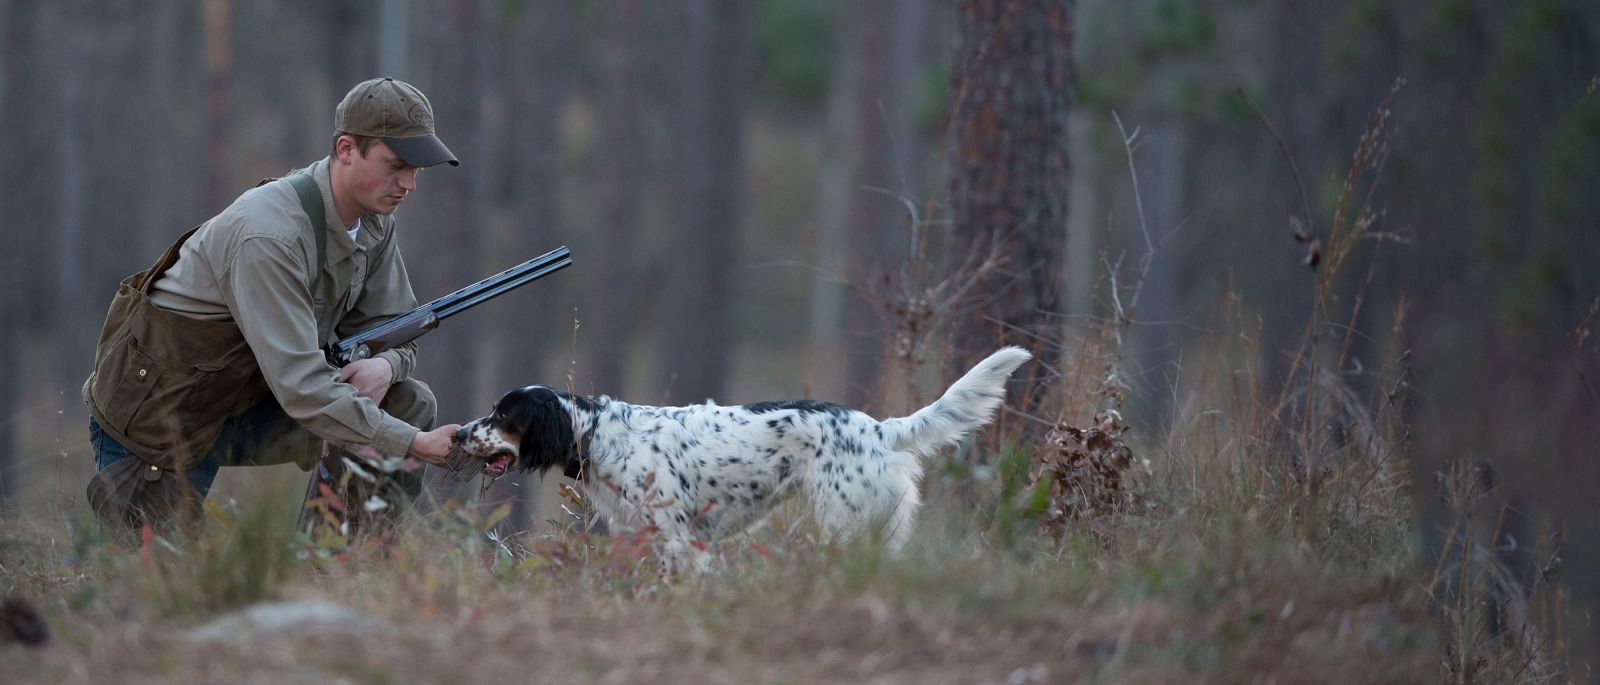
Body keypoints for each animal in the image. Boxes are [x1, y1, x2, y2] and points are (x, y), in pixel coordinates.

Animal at [457, 347, 1030, 572]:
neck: (599, 434)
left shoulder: (679, 538)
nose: (460, 433)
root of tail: (878, 428)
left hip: (842, 520)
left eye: (502, 413)